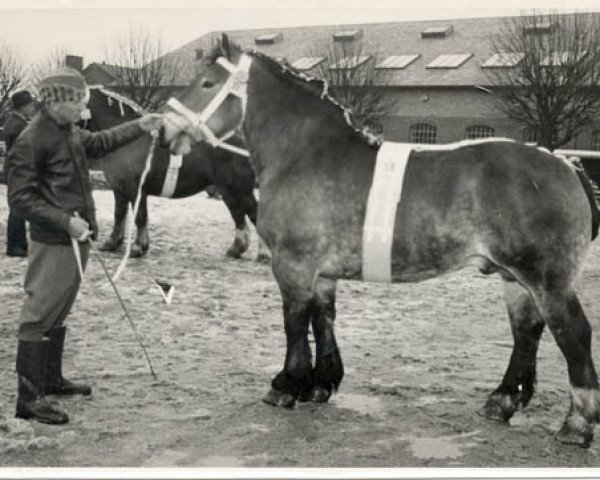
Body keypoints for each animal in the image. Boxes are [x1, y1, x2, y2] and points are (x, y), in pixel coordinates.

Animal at [82, 84, 268, 260]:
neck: (128, 142)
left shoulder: (136, 190)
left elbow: (140, 216)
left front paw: (138, 247)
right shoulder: (119, 189)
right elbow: (119, 215)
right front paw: (112, 243)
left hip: (240, 191)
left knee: (253, 214)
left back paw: (263, 254)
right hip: (228, 192)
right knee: (239, 216)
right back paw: (236, 250)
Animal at [162, 35, 600, 448]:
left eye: (206, 83)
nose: (165, 130)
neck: (305, 155)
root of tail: (567, 165)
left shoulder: (293, 267)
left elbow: (294, 323)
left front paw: (286, 385)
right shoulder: (322, 274)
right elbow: (323, 319)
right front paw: (321, 384)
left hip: (547, 280)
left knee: (573, 333)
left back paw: (576, 424)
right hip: (513, 278)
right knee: (527, 331)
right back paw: (503, 401)